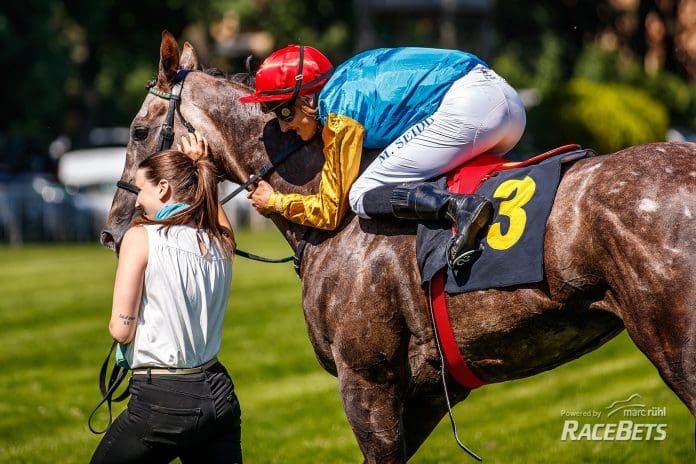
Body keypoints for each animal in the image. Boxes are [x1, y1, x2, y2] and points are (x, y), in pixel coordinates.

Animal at [102, 31, 696, 460]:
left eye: (136, 132)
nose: (111, 232)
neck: (338, 231)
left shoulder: (368, 380)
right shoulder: (428, 391)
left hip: (676, 345)